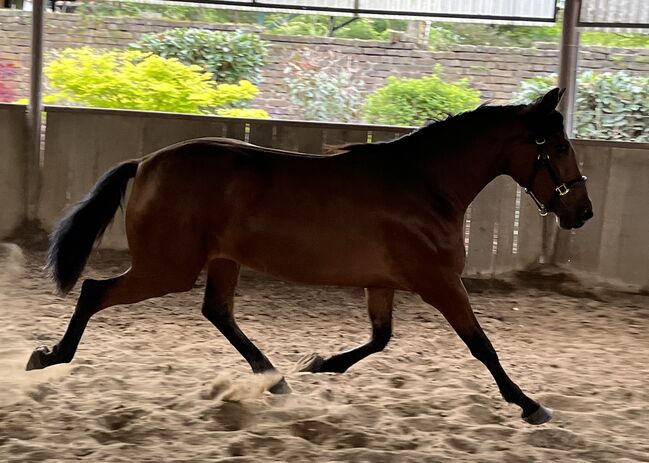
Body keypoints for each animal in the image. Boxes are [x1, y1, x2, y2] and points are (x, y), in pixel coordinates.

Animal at [26, 87, 592, 424]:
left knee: (218, 312)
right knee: (96, 291)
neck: (424, 185)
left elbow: (380, 339)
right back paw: (48, 357)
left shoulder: (383, 283)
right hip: (167, 267)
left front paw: (319, 363)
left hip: (219, 261)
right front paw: (530, 405)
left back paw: (275, 380)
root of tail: (145, 163)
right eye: (561, 146)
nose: (582, 212)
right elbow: (483, 347)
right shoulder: (440, 283)